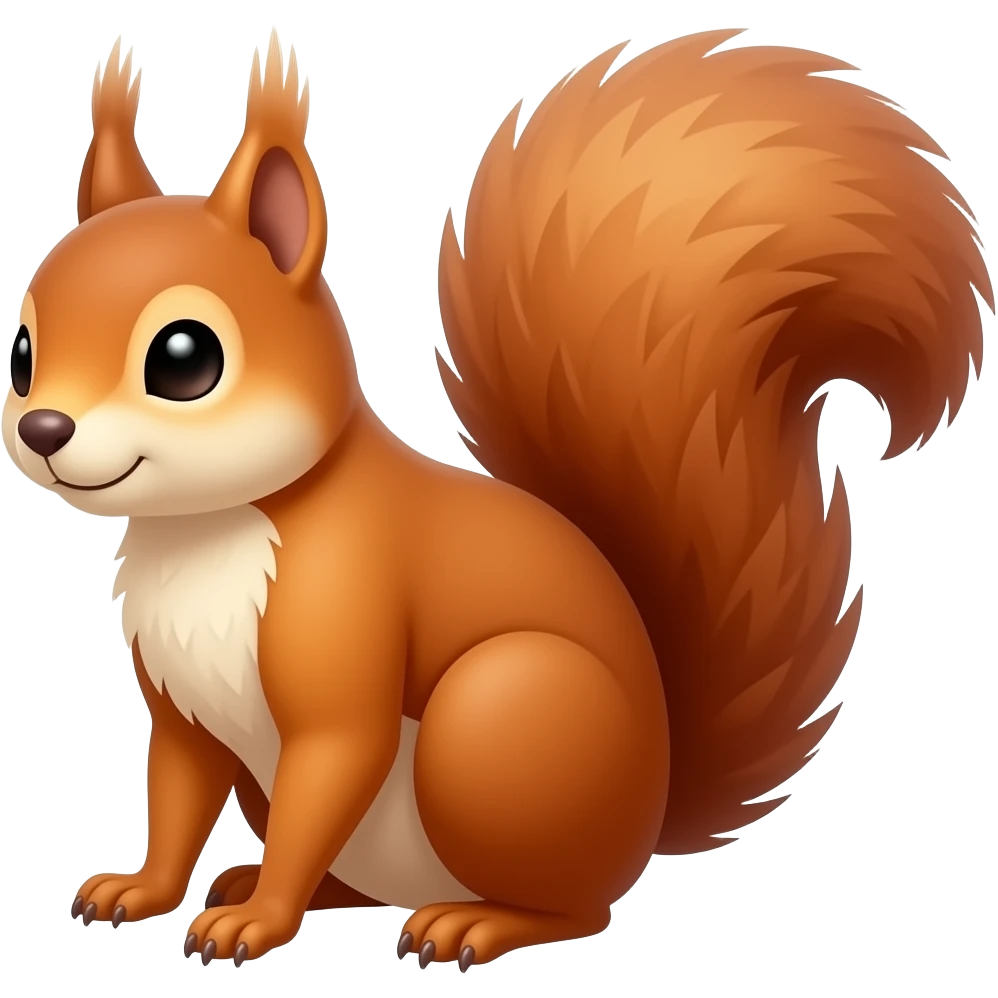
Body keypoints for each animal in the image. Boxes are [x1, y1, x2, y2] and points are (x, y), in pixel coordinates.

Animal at [4, 25, 991, 973]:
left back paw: (469, 922)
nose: (44, 429)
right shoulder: (182, 711)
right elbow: (176, 792)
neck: (206, 532)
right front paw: (144, 888)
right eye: (21, 351)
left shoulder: (345, 621)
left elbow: (335, 749)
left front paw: (260, 922)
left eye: (185, 358)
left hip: (498, 722)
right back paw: (275, 883)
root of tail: (646, 817)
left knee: (574, 907)